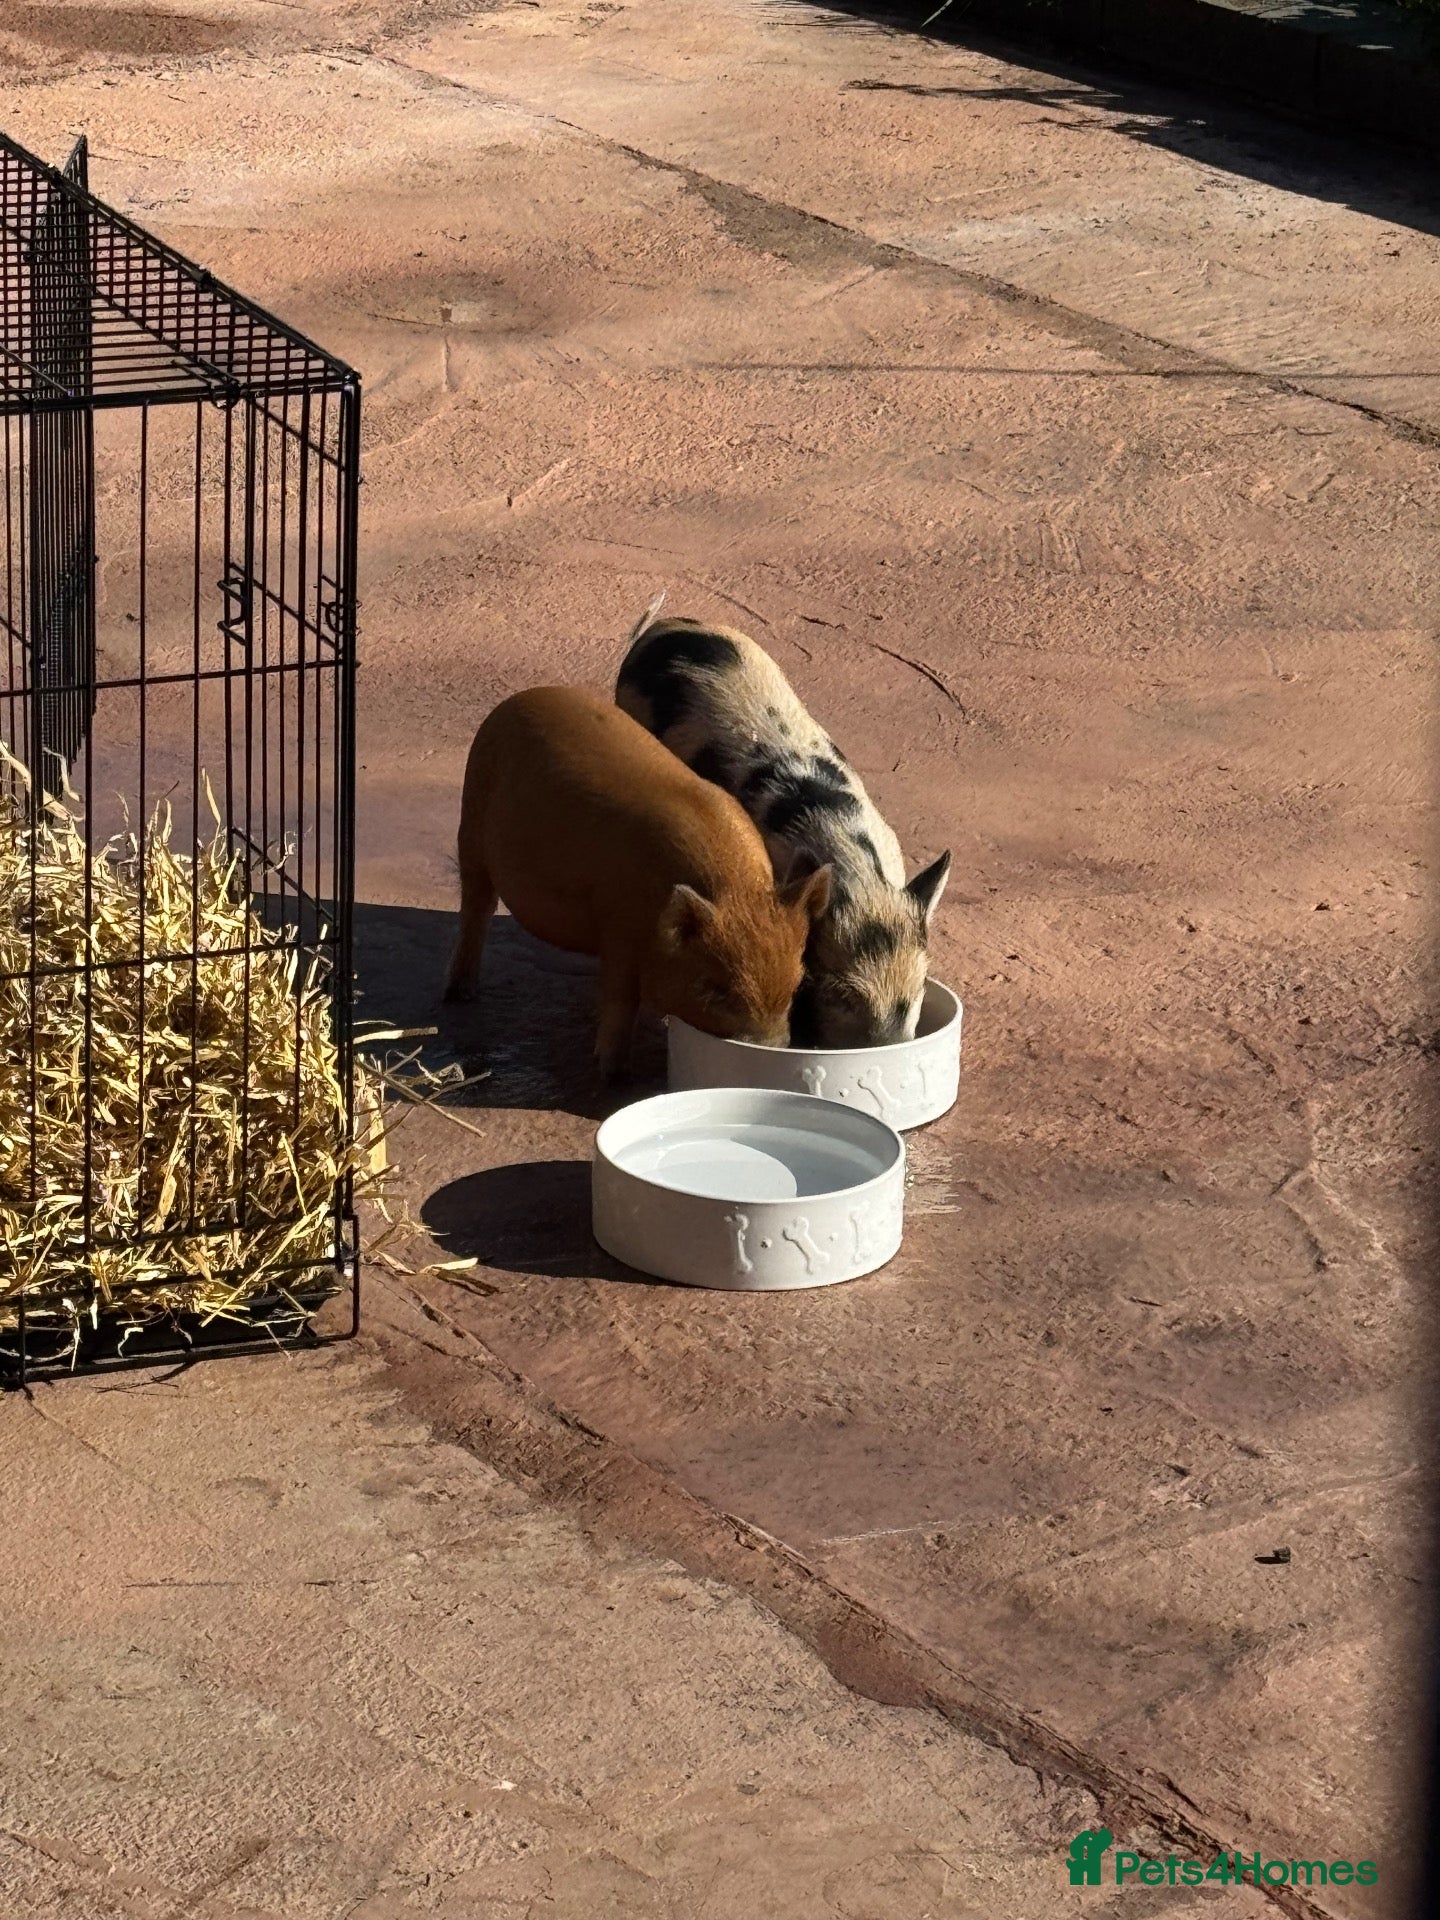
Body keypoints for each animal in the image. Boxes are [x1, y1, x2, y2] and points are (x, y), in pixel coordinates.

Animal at [443, 686, 832, 1078]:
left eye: (796, 984)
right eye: (716, 988)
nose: (770, 1047)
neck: (732, 892)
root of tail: (516, 700)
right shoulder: (618, 927)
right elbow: (620, 999)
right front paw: (612, 1073)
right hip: (470, 828)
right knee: (476, 909)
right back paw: (459, 994)